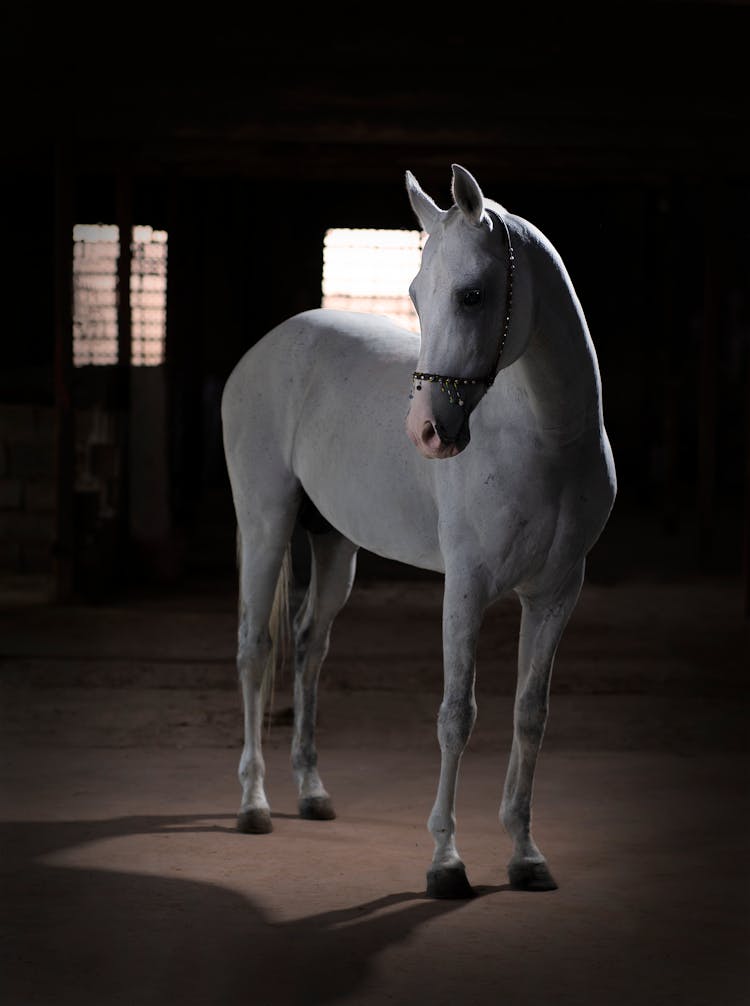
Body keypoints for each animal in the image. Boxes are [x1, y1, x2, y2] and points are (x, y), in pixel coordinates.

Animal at [220, 162, 615, 897]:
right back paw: (253, 804)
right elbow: (457, 715)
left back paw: (311, 793)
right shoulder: (466, 586)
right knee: (256, 648)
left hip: (334, 543)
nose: (427, 432)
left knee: (310, 646)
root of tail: (264, 350)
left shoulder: (556, 592)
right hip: (264, 523)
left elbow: (531, 714)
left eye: (472, 294)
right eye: (413, 294)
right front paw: (445, 862)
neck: (544, 439)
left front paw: (525, 854)